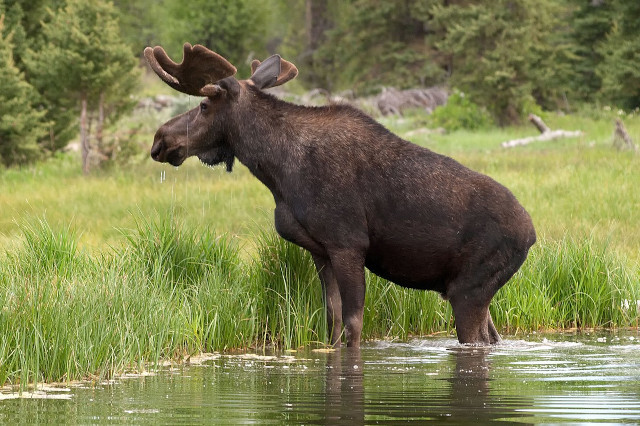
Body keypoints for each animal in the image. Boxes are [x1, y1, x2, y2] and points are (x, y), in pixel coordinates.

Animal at [144, 43, 536, 348]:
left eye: (204, 106)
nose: (160, 139)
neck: (277, 171)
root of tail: (531, 235)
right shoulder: (321, 250)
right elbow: (331, 322)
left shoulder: (348, 243)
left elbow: (353, 327)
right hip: (476, 293)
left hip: (468, 290)